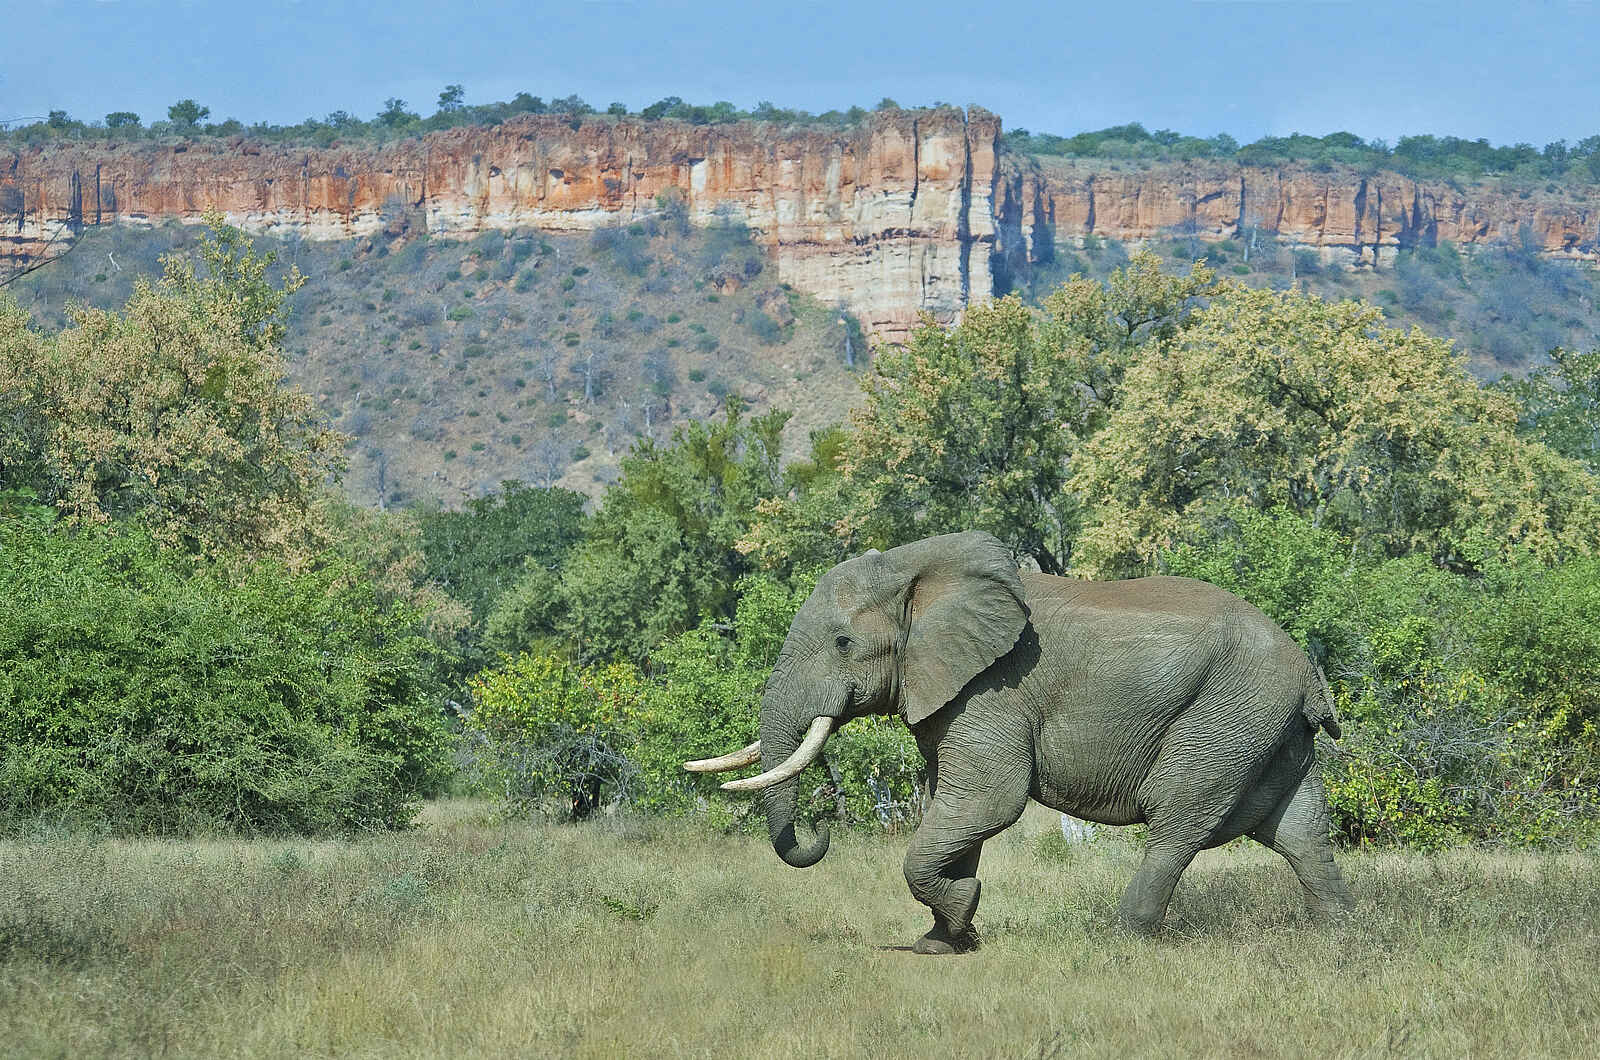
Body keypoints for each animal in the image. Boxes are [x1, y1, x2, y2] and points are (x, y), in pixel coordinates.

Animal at [686, 531, 1353, 954]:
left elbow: (988, 801)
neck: (918, 569)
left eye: (844, 643)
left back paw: (1122, 941)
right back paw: (1342, 937)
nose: (820, 829)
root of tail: (1307, 672)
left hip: (1228, 715)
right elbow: (953, 808)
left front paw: (958, 914)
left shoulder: (991, 690)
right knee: (1299, 830)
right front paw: (941, 944)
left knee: (1177, 820)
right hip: (1269, 726)